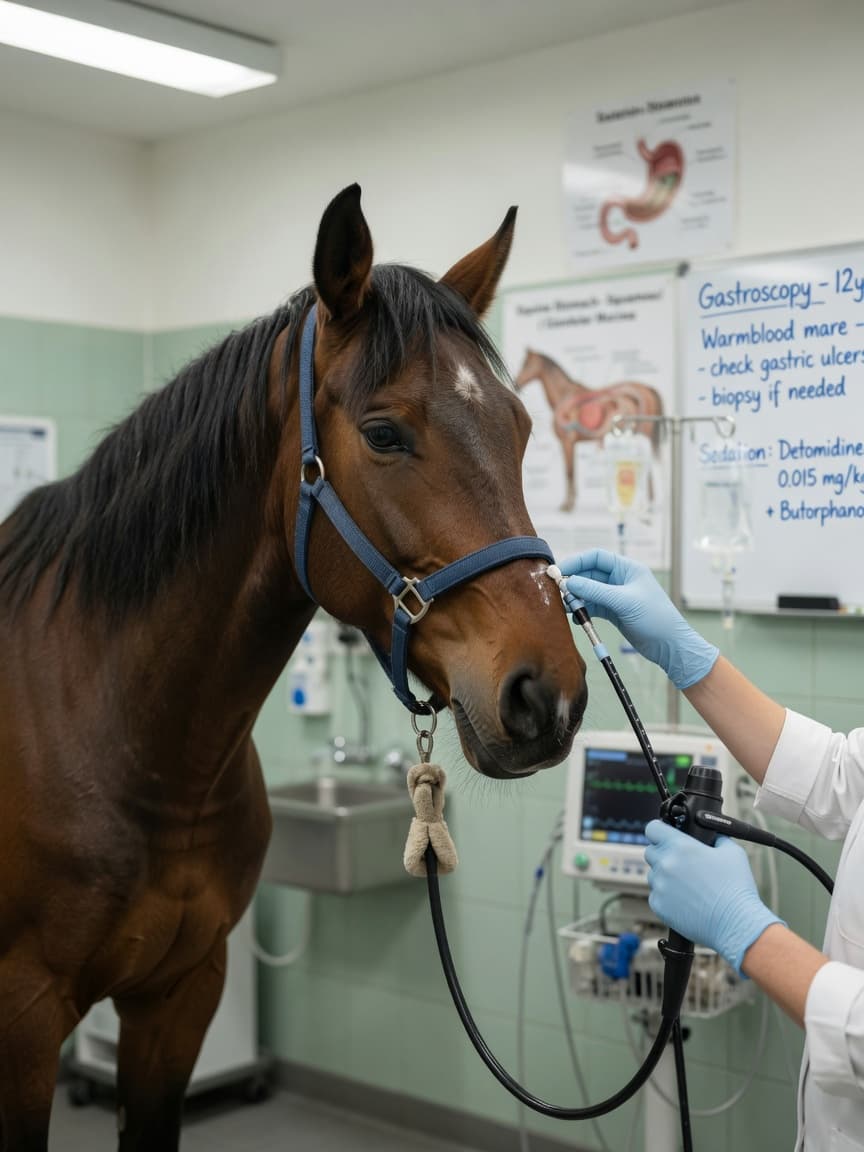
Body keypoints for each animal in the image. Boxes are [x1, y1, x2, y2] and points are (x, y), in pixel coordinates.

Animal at [0, 184, 588, 1152]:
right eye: (383, 434)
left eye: (522, 427)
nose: (550, 695)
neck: (122, 736)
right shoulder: (24, 1018)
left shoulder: (179, 998)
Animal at [513, 348, 664, 512]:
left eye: (525, 363)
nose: (516, 383)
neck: (563, 397)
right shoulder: (572, 444)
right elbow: (572, 471)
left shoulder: (567, 442)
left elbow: (569, 472)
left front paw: (567, 505)